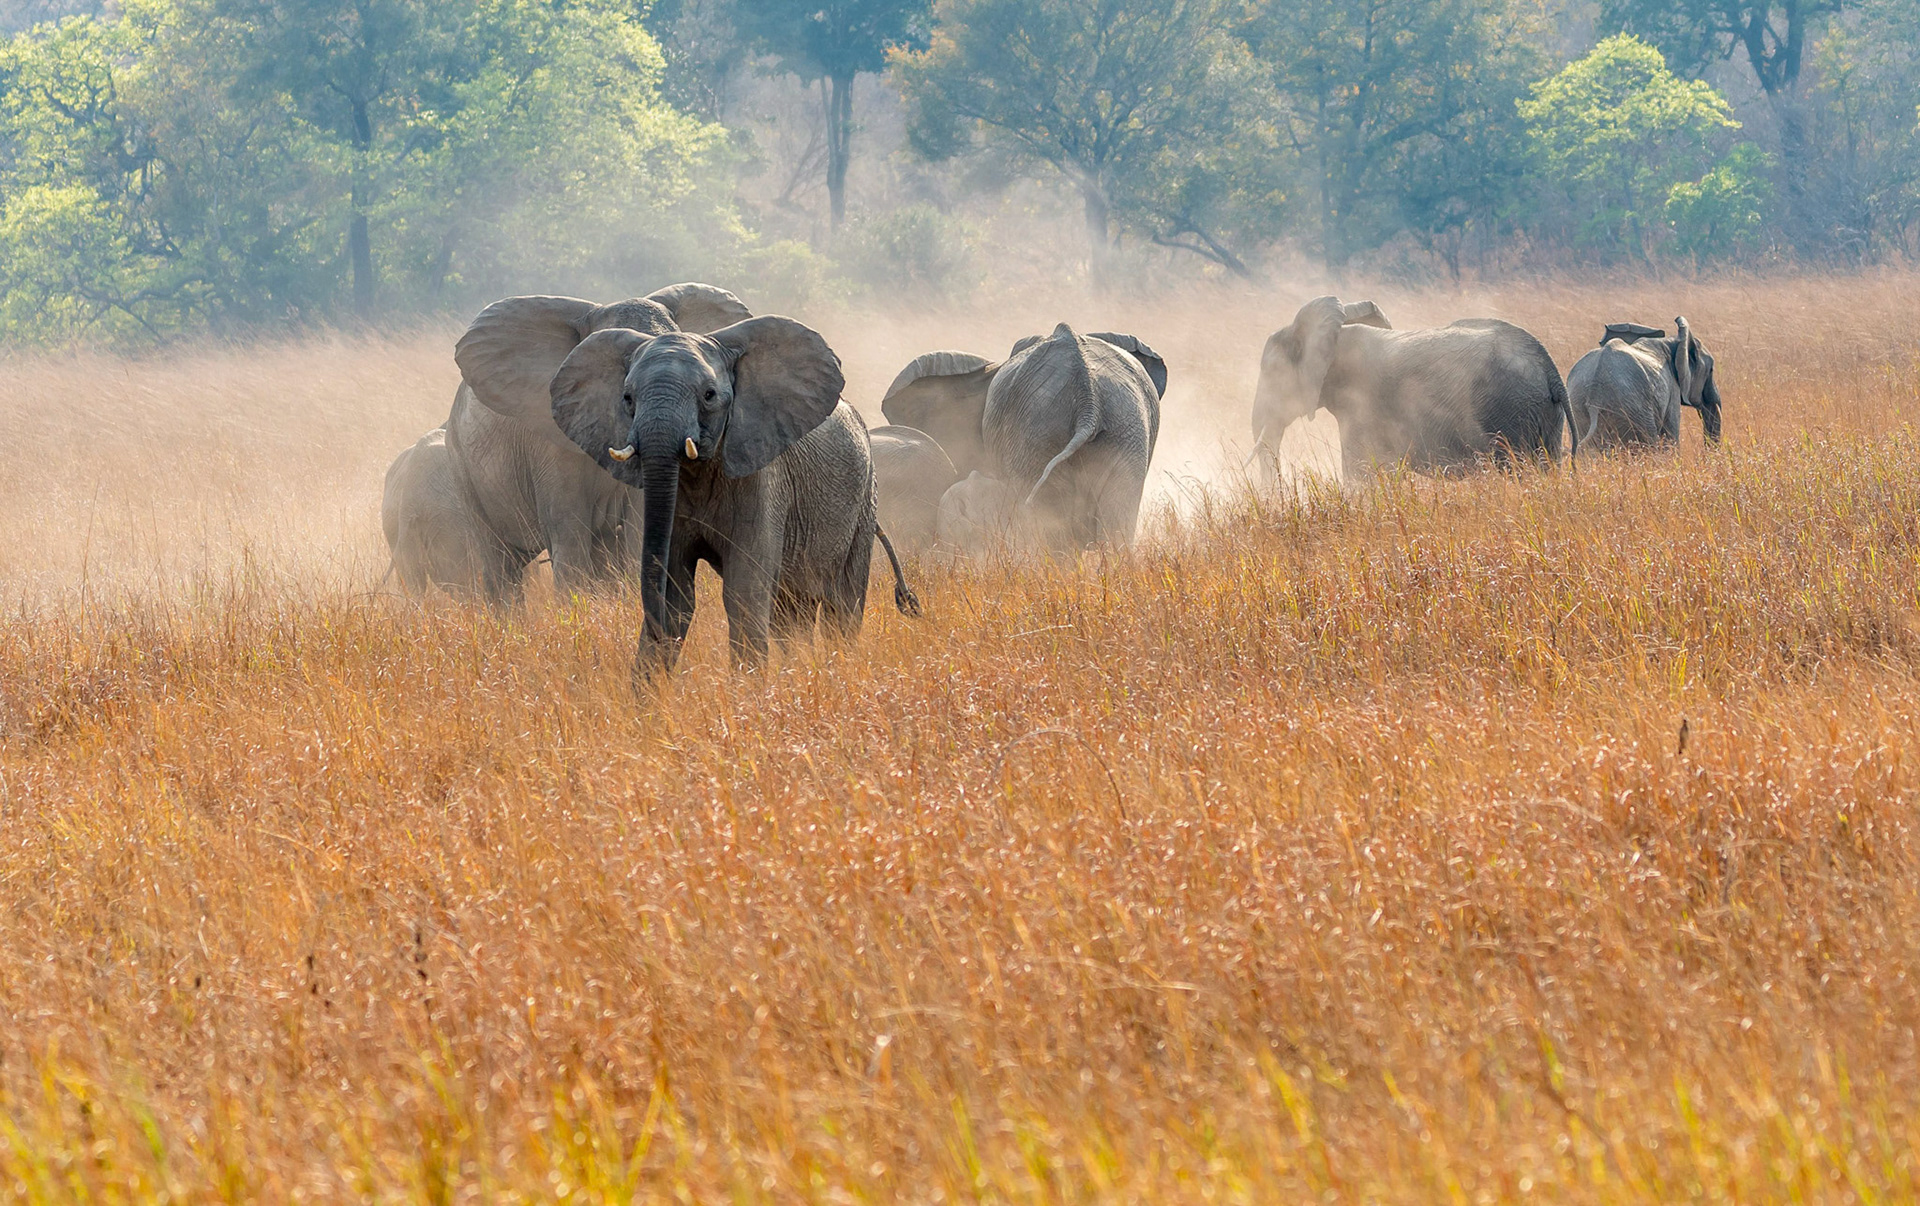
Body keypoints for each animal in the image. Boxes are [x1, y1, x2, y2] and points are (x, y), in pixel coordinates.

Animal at [548, 314, 918, 676]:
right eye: (627, 398)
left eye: (709, 395)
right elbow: (677, 595)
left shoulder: (763, 480)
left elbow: (744, 589)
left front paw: (748, 690)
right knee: (790, 612)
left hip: (864, 500)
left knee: (841, 604)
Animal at [1250, 297, 1575, 480]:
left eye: (1270, 372)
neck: (1338, 333)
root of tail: (1550, 370)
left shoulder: (1361, 406)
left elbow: (1359, 473)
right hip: (1540, 415)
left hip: (1508, 412)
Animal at [1565, 318, 1723, 449]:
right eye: (1711, 370)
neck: (1672, 342)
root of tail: (1594, 396)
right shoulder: (1672, 389)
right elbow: (1670, 437)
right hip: (1633, 409)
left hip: (1578, 408)